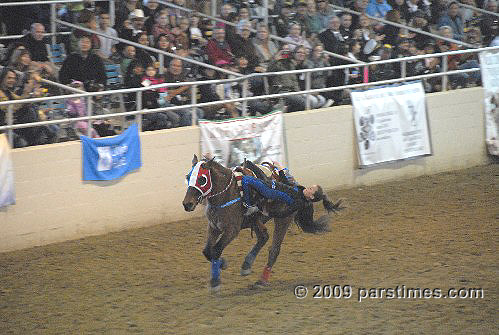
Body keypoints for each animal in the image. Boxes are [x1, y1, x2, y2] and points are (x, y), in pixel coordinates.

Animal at [184, 155, 344, 292]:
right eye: (188, 177)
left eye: (202, 179)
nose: (187, 204)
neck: (227, 194)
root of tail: (295, 184)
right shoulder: (214, 227)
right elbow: (207, 251)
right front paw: (221, 264)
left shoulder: (232, 230)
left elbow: (216, 250)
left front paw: (216, 281)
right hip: (257, 220)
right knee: (263, 237)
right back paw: (246, 265)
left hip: (283, 220)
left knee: (274, 250)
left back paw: (261, 281)